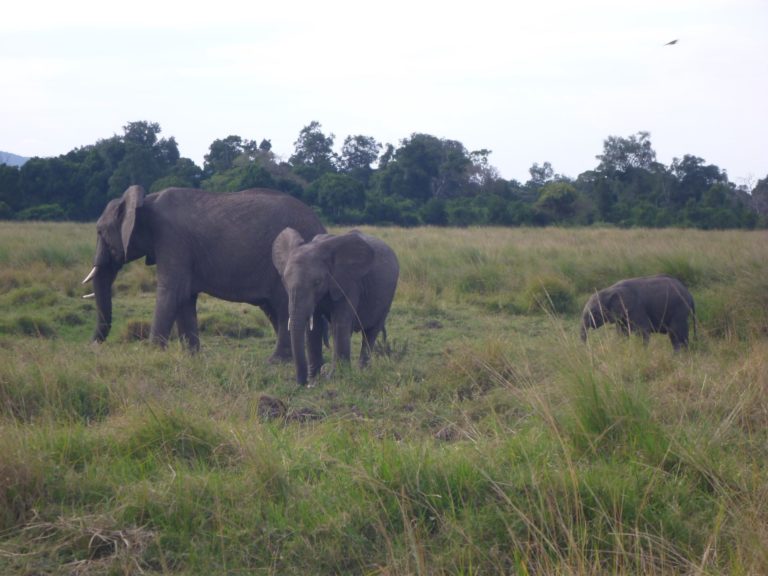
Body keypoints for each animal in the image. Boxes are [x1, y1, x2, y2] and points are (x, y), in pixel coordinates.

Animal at [82, 186, 328, 360]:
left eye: (100, 231)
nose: (93, 346)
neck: (145, 199)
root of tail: (321, 226)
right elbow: (184, 298)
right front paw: (191, 357)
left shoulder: (172, 239)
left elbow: (172, 291)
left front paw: (151, 354)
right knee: (273, 309)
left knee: (283, 307)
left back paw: (277, 361)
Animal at [272, 227, 402, 384]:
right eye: (284, 281)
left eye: (317, 282)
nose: (302, 383)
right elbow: (314, 327)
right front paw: (314, 379)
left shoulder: (349, 282)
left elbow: (340, 323)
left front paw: (336, 378)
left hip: (388, 296)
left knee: (370, 332)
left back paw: (363, 372)